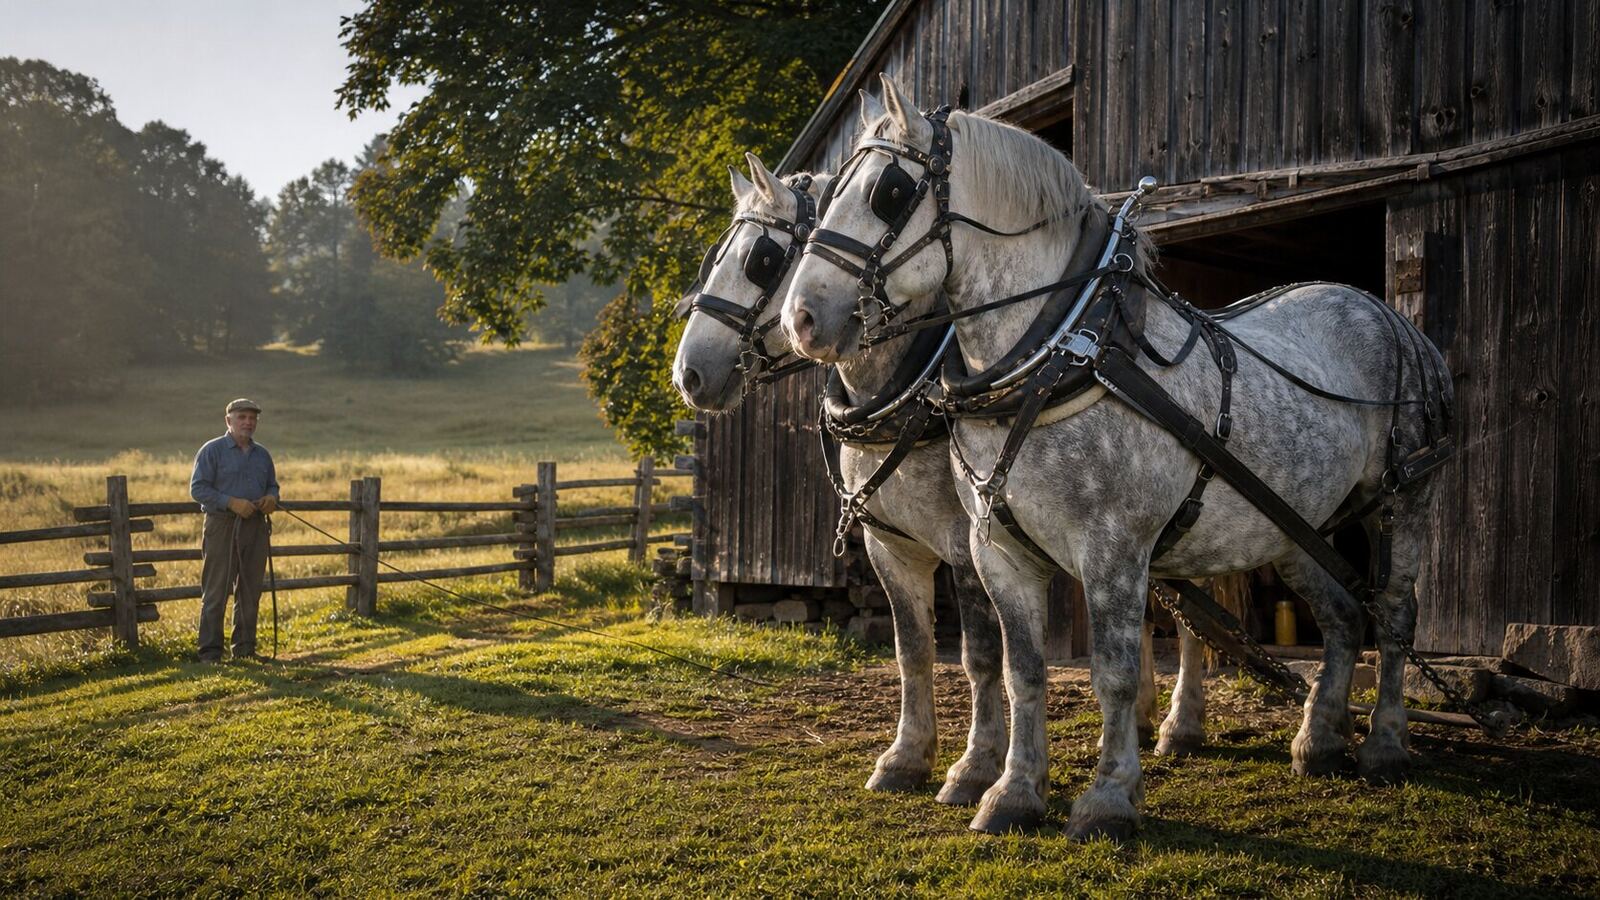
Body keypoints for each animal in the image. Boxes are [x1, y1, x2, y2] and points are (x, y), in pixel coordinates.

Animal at [781, 75, 1452, 839]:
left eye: (888, 191)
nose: (802, 319)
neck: (1063, 348)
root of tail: (1390, 317)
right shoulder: (995, 551)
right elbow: (1022, 671)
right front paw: (1012, 791)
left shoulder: (1113, 549)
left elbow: (1114, 672)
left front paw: (1107, 796)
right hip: (1292, 524)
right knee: (1342, 615)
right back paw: (1320, 740)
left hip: (1402, 501)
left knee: (1394, 613)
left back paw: (1386, 744)